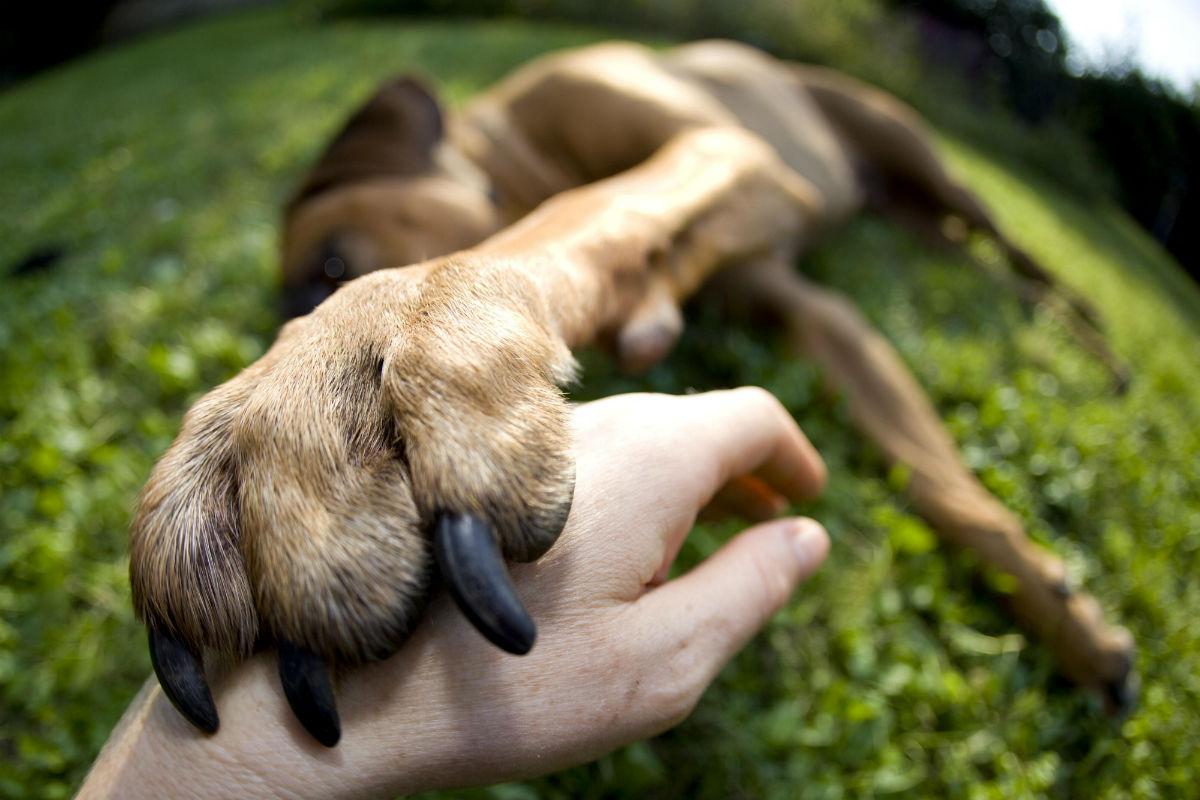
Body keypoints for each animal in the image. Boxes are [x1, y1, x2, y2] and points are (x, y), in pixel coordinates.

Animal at [129, 38, 1132, 753]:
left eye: (329, 266)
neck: (521, 150)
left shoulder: (731, 153)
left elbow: (583, 209)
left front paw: (389, 330)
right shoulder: (807, 310)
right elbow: (929, 474)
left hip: (921, 158)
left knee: (1019, 254)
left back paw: (1103, 347)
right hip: (912, 211)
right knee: (979, 261)